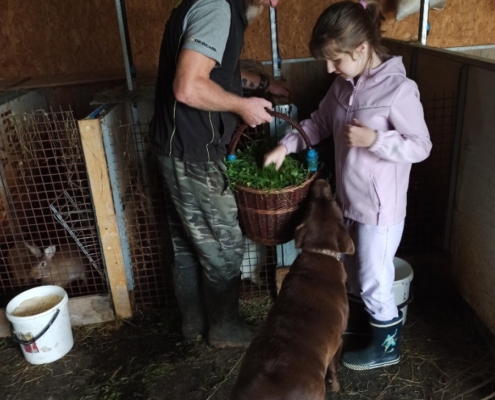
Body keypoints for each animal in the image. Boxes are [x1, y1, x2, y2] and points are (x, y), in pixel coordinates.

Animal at [231, 180, 354, 398]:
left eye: (312, 202)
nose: (321, 180)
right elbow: (334, 368)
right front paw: (336, 386)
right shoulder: (338, 339)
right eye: (334, 202)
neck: (319, 251)